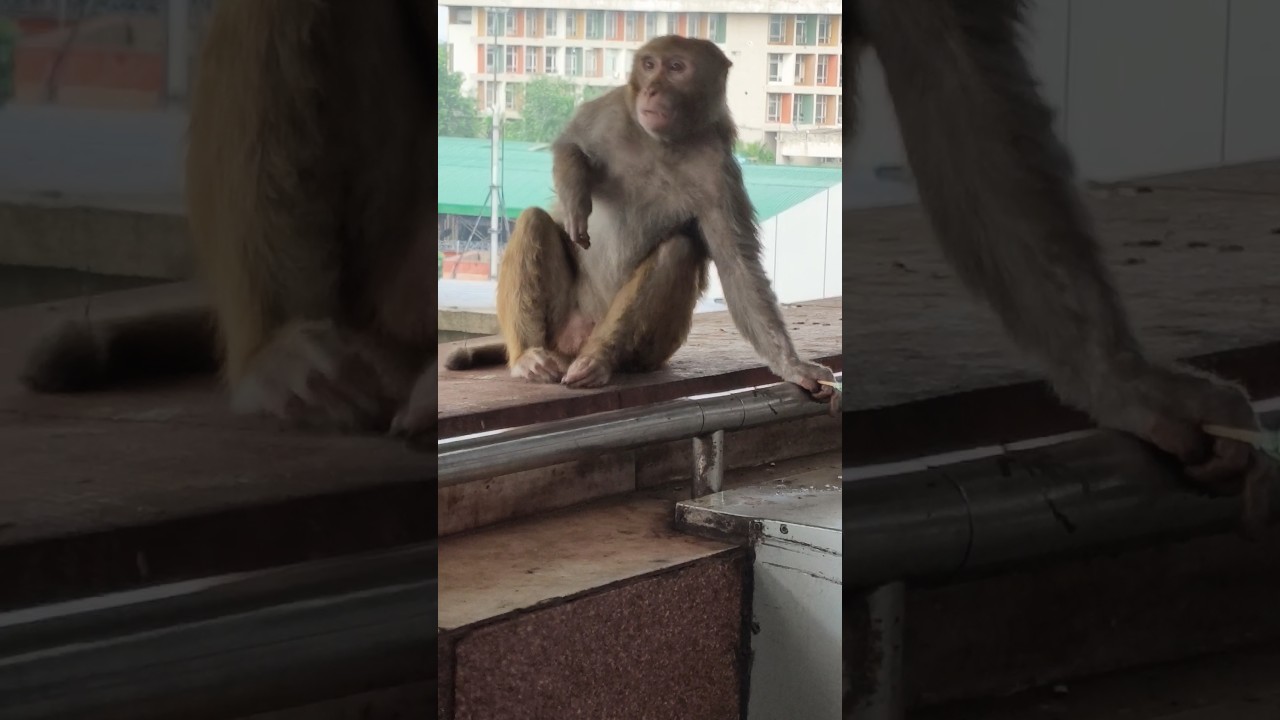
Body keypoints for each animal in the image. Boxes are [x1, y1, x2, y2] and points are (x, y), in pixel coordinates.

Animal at [445, 35, 836, 404]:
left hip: (652, 348)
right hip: (563, 320)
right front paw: (575, 198)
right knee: (532, 222)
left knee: (678, 250)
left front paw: (791, 365)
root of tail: (576, 340)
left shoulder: (720, 173)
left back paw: (600, 358)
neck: (660, 142)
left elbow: (737, 265)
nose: (652, 89)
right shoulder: (614, 110)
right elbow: (569, 143)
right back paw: (529, 354)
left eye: (676, 67)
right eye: (650, 65)